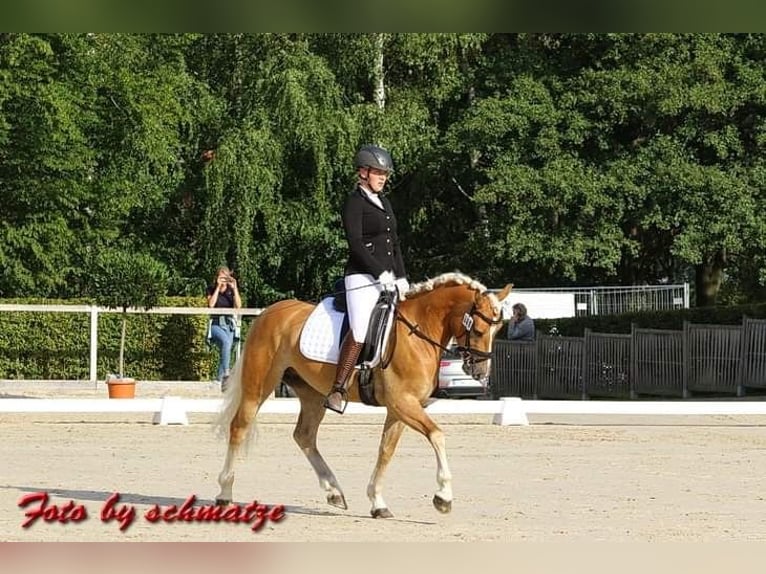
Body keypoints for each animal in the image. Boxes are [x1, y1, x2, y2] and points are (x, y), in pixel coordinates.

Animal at [215, 272, 513, 518]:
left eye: (498, 330)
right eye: (479, 330)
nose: (480, 371)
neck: (418, 331)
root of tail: (270, 312)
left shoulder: (400, 408)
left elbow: (386, 450)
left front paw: (378, 503)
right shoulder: (403, 403)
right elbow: (437, 435)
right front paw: (443, 497)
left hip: (312, 394)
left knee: (304, 435)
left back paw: (334, 492)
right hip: (258, 387)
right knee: (239, 427)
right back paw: (224, 493)